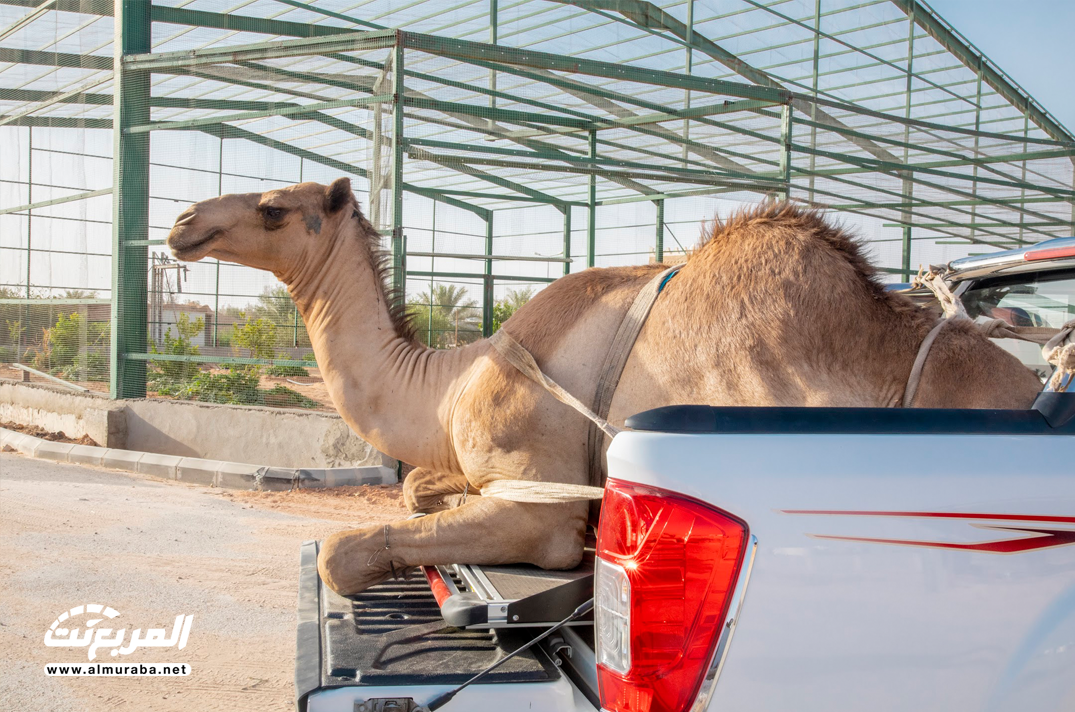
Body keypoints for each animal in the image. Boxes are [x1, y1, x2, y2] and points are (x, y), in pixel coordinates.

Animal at [165, 177, 1040, 597]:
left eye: (274, 209)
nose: (181, 222)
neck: (449, 383)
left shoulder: (539, 506)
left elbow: (344, 553)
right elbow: (415, 488)